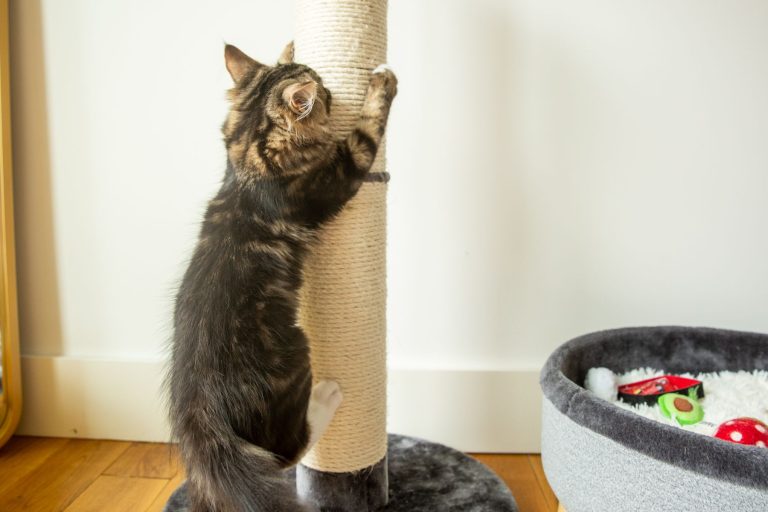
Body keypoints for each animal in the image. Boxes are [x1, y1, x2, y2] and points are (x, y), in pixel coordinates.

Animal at [166, 44, 396, 512]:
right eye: (322, 90)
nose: (329, 88)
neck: (247, 160)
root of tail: (196, 409)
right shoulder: (339, 172)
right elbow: (366, 131)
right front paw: (381, 81)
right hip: (294, 357)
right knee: (287, 450)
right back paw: (327, 395)